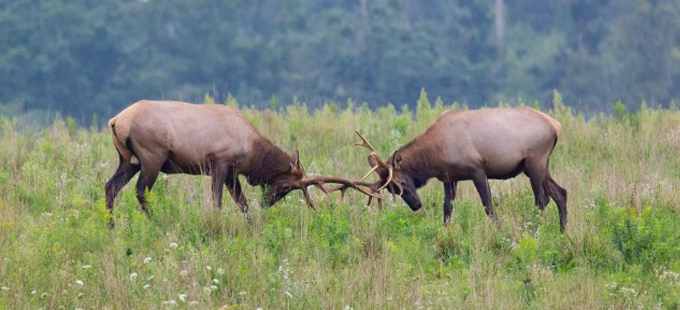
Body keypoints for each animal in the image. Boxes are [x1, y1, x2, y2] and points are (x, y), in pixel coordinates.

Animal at [105, 100, 378, 226]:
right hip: (152, 156)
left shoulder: (231, 172)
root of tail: (115, 120)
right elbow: (217, 201)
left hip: (129, 160)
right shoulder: (220, 161)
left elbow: (242, 203)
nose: (267, 203)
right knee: (141, 191)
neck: (252, 153)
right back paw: (156, 222)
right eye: (287, 186)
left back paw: (110, 226)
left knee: (110, 186)